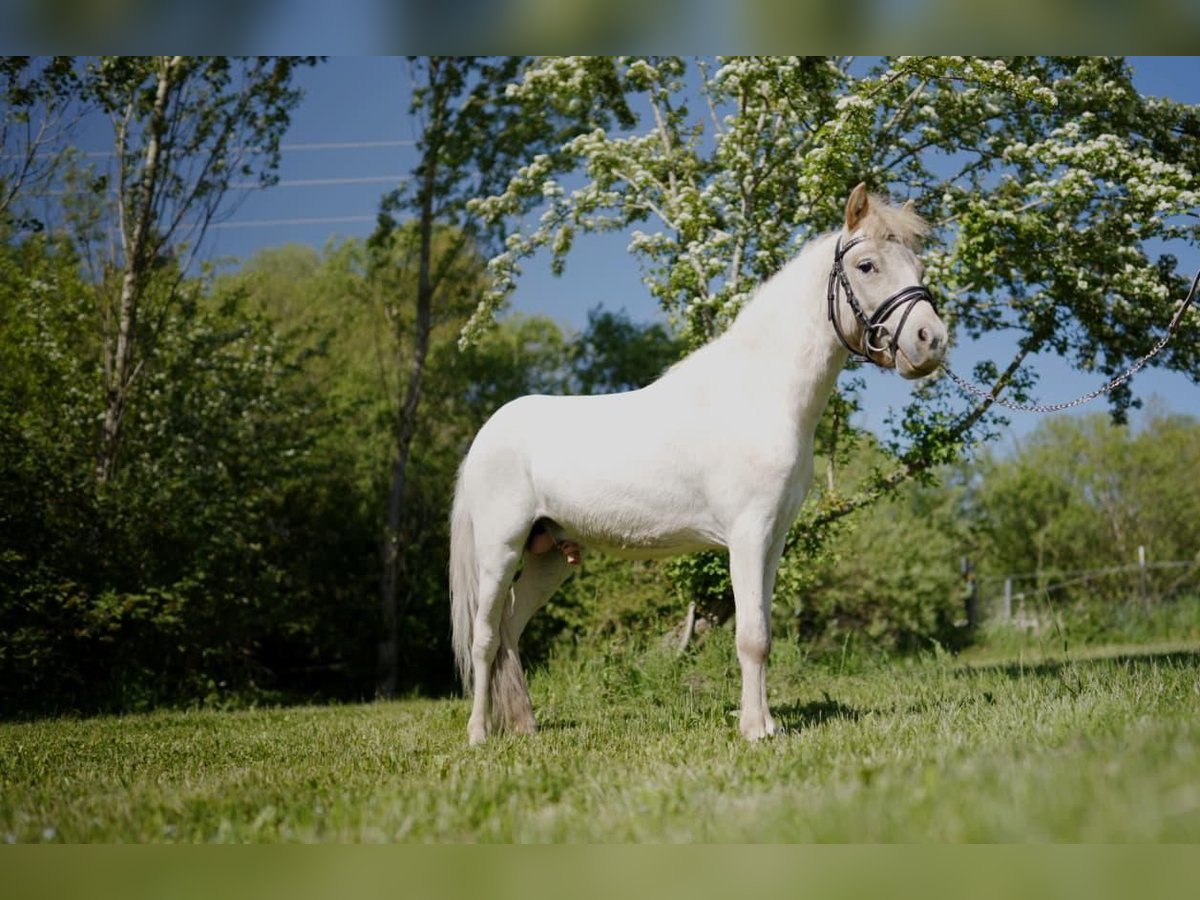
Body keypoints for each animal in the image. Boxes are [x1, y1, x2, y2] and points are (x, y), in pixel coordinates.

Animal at [450, 183, 948, 744]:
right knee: (484, 637)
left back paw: (525, 725)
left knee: (510, 627)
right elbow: (750, 636)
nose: (931, 341)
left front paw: (767, 723)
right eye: (866, 265)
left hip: (548, 555)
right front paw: (754, 731)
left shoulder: (773, 540)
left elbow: (763, 631)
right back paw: (479, 734)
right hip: (500, 548)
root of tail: (487, 435)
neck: (760, 393)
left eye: (918, 263)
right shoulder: (748, 534)